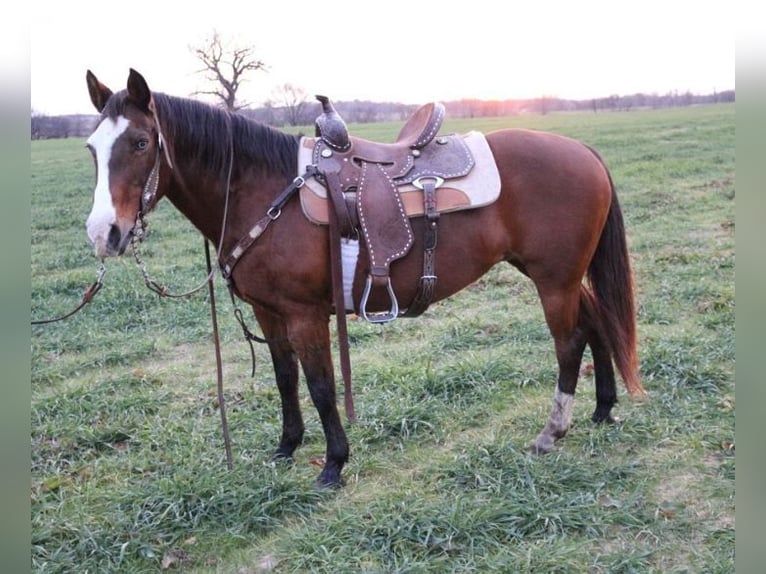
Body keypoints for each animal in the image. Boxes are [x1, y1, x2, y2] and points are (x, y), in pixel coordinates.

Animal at [85, 68, 648, 490]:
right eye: (92, 149)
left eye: (141, 141)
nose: (103, 233)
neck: (264, 190)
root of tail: (582, 150)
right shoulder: (269, 312)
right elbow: (286, 379)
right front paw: (286, 448)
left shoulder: (305, 314)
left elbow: (320, 385)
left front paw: (333, 464)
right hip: (562, 276)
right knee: (597, 324)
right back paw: (602, 410)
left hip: (553, 280)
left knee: (569, 342)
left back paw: (553, 431)